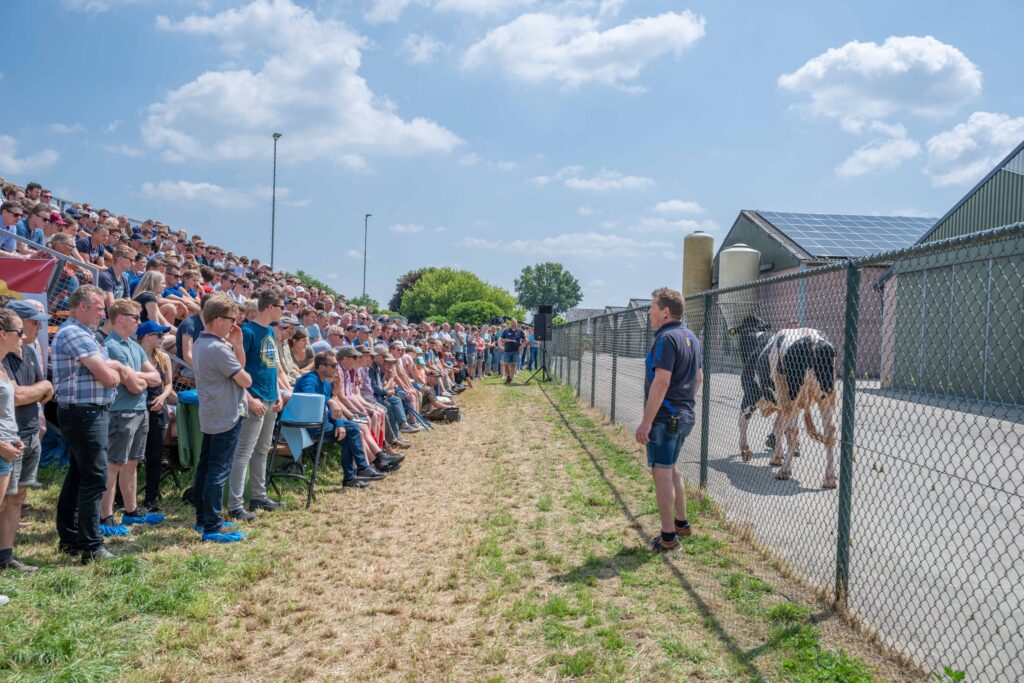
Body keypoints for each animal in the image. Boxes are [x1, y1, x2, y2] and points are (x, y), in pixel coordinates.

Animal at [724, 317, 835, 489]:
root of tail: (813, 339)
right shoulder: (780, 405)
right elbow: (777, 428)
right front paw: (776, 457)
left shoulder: (750, 394)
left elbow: (743, 421)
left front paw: (745, 451)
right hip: (826, 396)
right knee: (830, 432)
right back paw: (829, 478)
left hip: (791, 399)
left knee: (793, 432)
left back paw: (784, 471)